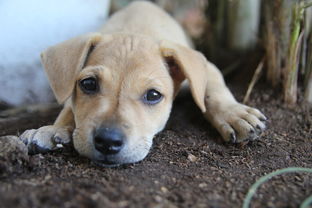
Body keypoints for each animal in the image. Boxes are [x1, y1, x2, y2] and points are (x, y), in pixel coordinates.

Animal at [19, 1, 266, 166]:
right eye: (88, 84)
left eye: (153, 95)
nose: (107, 142)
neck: (135, 30)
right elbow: (69, 107)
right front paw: (54, 129)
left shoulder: (207, 68)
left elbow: (213, 90)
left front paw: (235, 114)